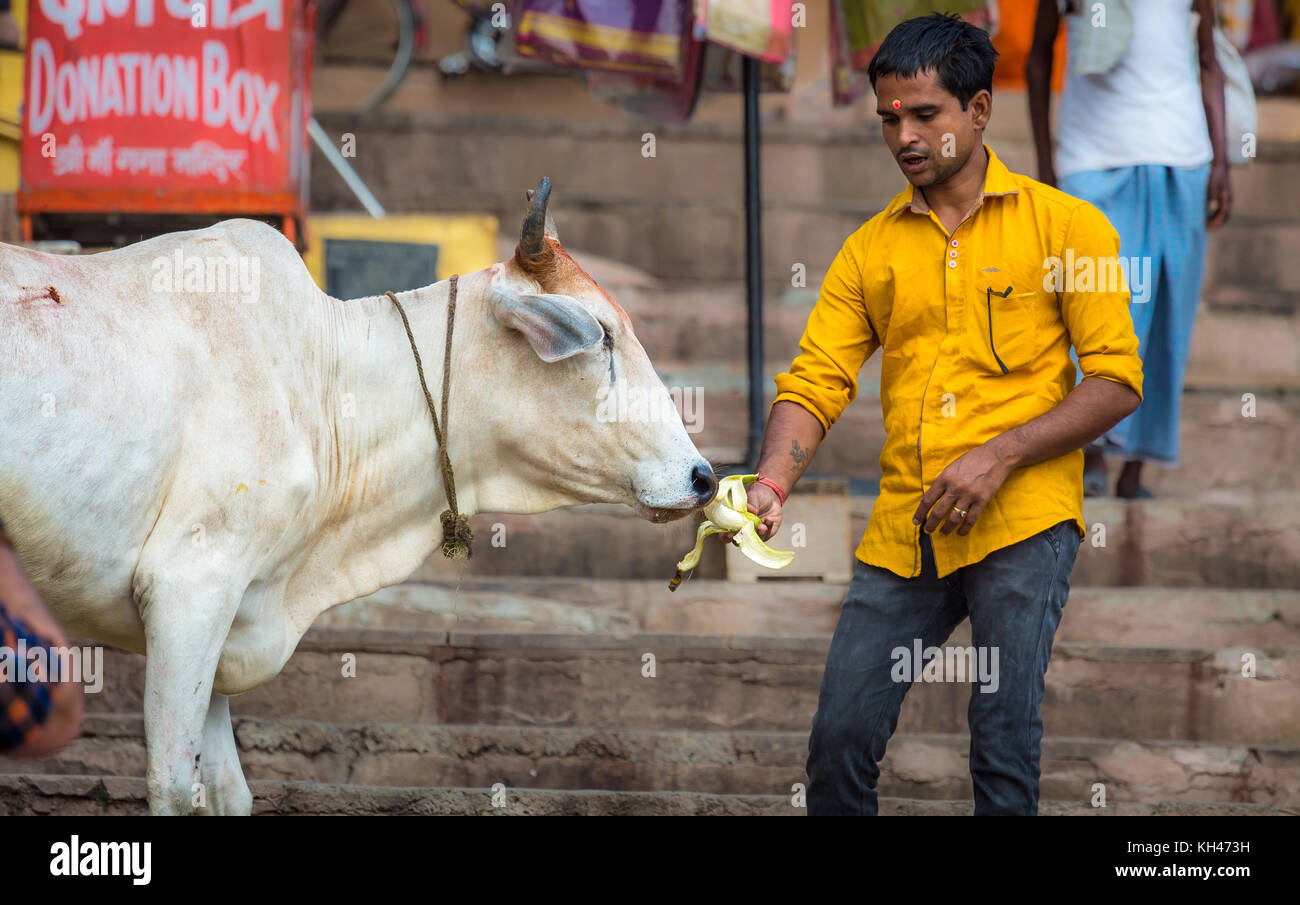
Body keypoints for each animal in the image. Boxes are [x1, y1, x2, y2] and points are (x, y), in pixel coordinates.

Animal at [0, 180, 717, 816]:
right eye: (602, 334)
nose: (703, 476)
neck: (324, 384)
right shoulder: (188, 586)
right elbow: (177, 786)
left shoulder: (228, 613)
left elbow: (227, 792)